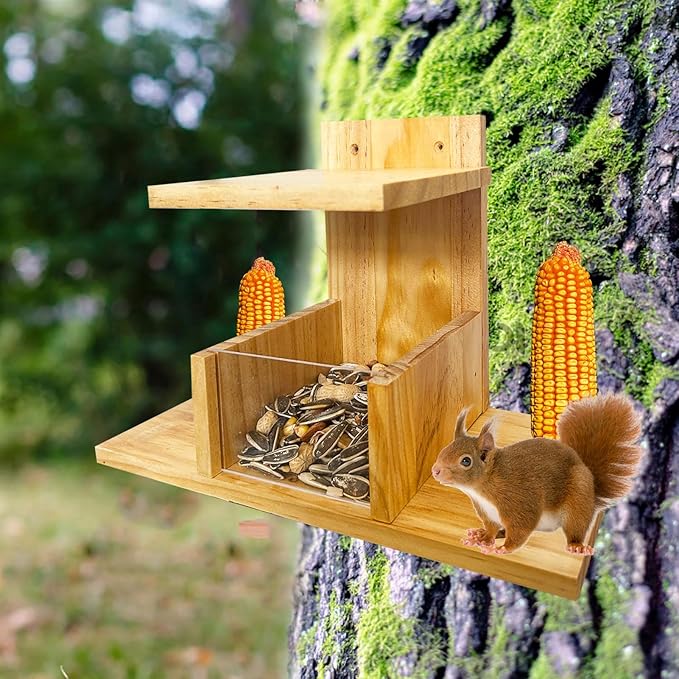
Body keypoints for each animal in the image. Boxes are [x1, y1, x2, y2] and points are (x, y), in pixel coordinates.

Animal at [431, 392, 644, 556]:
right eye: (446, 448)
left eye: (466, 461)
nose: (435, 470)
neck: (484, 487)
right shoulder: (488, 513)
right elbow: (492, 529)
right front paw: (483, 538)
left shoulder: (518, 502)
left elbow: (520, 530)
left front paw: (503, 549)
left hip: (578, 500)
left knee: (575, 526)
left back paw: (576, 546)